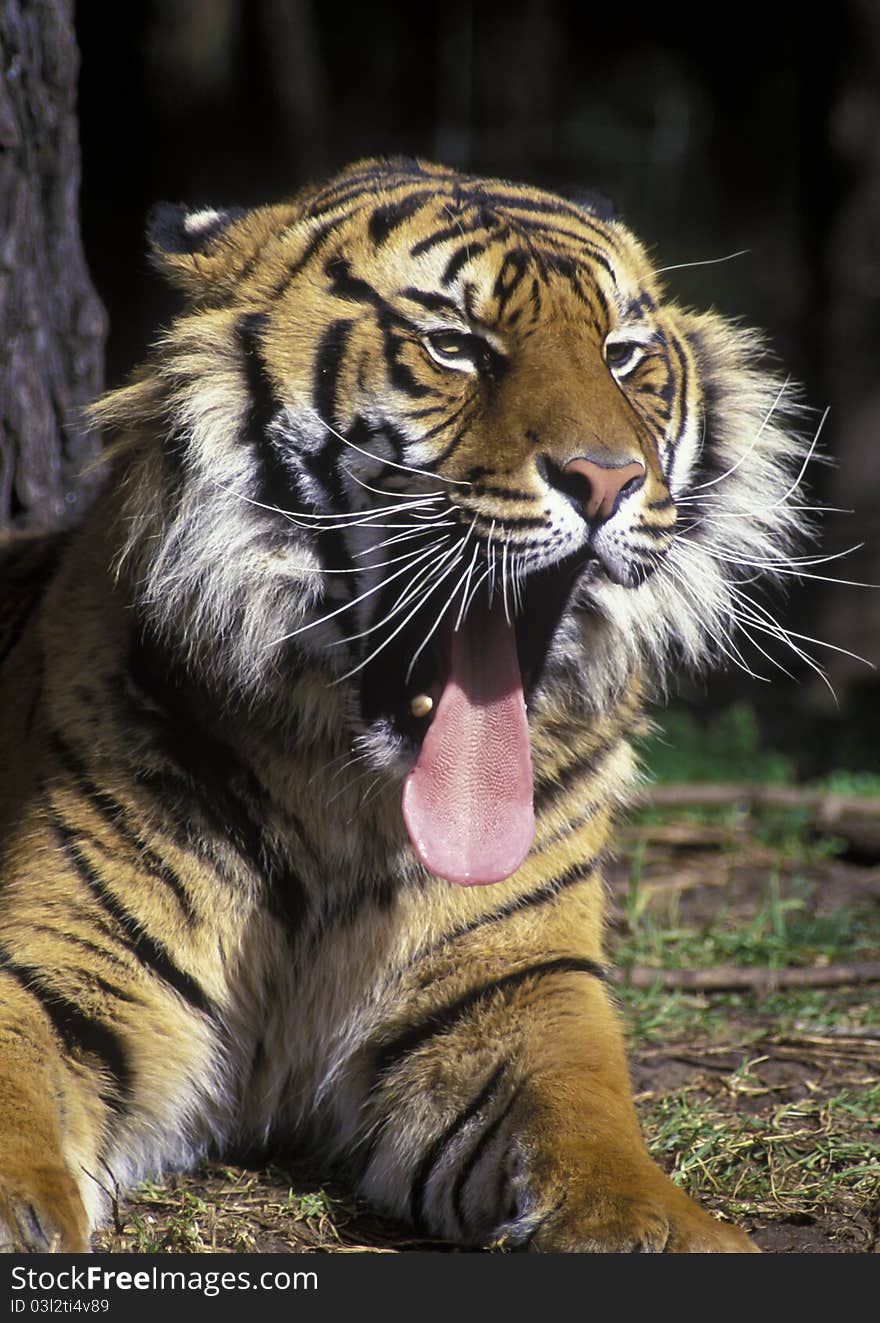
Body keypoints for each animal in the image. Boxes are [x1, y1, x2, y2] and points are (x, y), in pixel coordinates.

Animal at [0, 154, 809, 1248]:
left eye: (622, 354)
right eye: (454, 347)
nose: (607, 480)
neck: (343, 797)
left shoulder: (517, 983)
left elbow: (589, 1113)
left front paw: (653, 1225)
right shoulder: (55, 959)